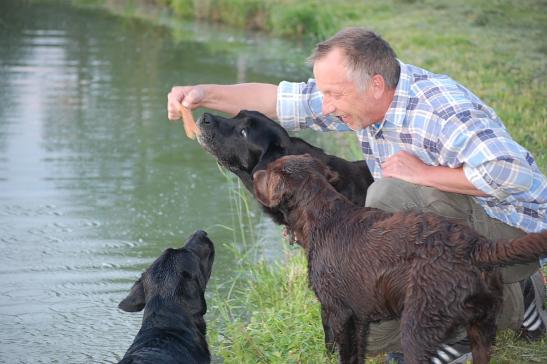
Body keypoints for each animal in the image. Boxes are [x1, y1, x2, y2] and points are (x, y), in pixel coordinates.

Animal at [254, 154, 547, 364]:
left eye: (267, 172)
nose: (255, 173)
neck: (322, 217)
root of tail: (476, 247)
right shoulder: (359, 317)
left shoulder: (339, 312)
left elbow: (342, 352)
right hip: (481, 326)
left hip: (418, 325)